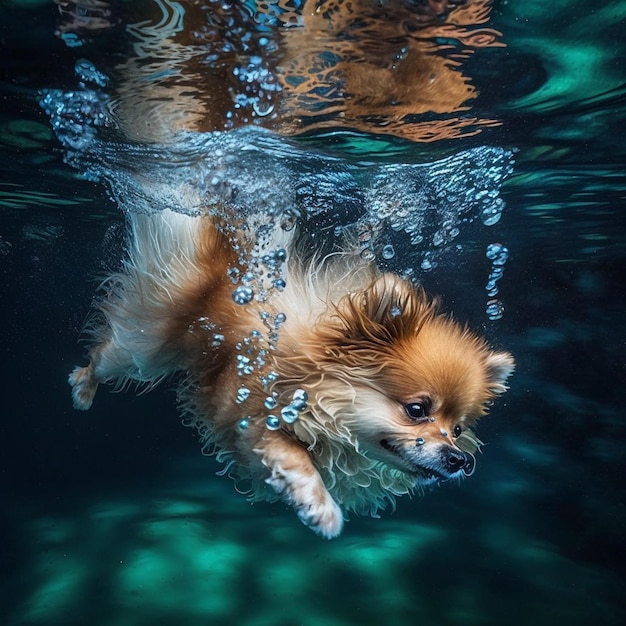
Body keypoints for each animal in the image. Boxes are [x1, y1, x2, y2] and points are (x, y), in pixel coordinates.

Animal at [69, 205, 512, 536]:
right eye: (417, 410)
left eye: (458, 428)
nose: (459, 459)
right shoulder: (254, 417)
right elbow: (297, 459)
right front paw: (322, 509)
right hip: (144, 346)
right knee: (106, 354)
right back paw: (82, 387)